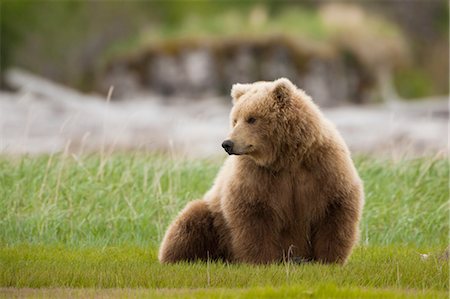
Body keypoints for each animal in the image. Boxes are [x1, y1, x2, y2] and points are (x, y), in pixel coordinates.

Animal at [158, 78, 362, 266]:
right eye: (235, 119)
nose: (227, 143)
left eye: (252, 118)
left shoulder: (323, 166)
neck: (286, 158)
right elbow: (253, 216)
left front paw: (329, 259)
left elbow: (335, 209)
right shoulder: (256, 175)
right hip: (213, 217)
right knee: (190, 221)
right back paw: (178, 258)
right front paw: (261, 260)